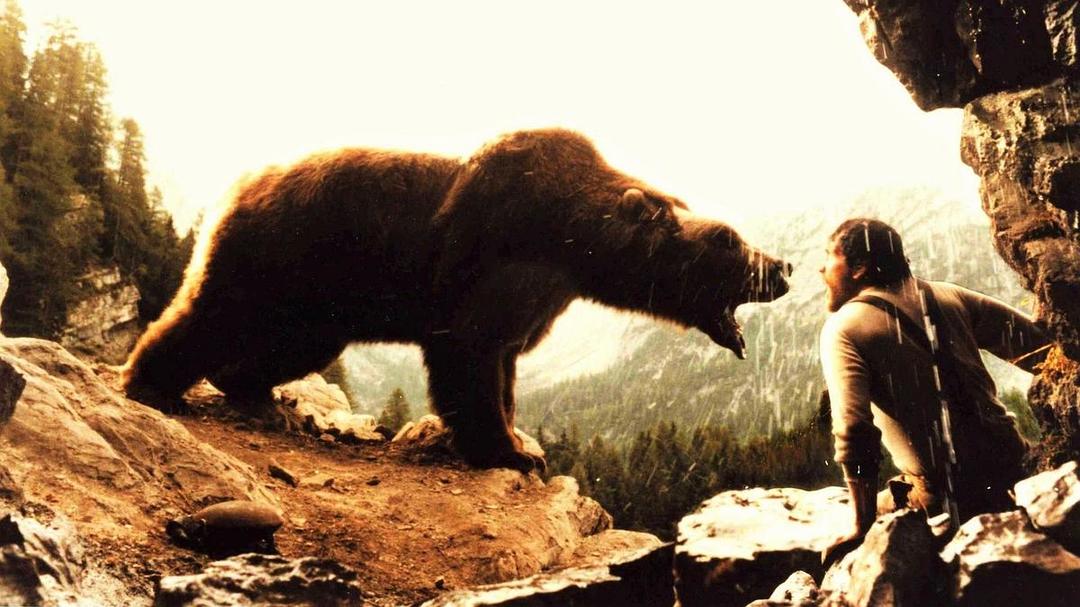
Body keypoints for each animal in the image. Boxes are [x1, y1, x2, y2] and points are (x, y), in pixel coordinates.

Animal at [122, 128, 792, 472]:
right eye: (729, 240)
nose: (782, 266)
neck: (571, 239)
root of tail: (241, 183)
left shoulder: (540, 296)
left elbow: (506, 360)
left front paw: (521, 440)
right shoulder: (488, 257)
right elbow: (470, 357)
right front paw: (507, 452)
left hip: (320, 305)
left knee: (290, 347)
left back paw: (259, 392)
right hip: (284, 251)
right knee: (213, 314)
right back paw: (151, 383)